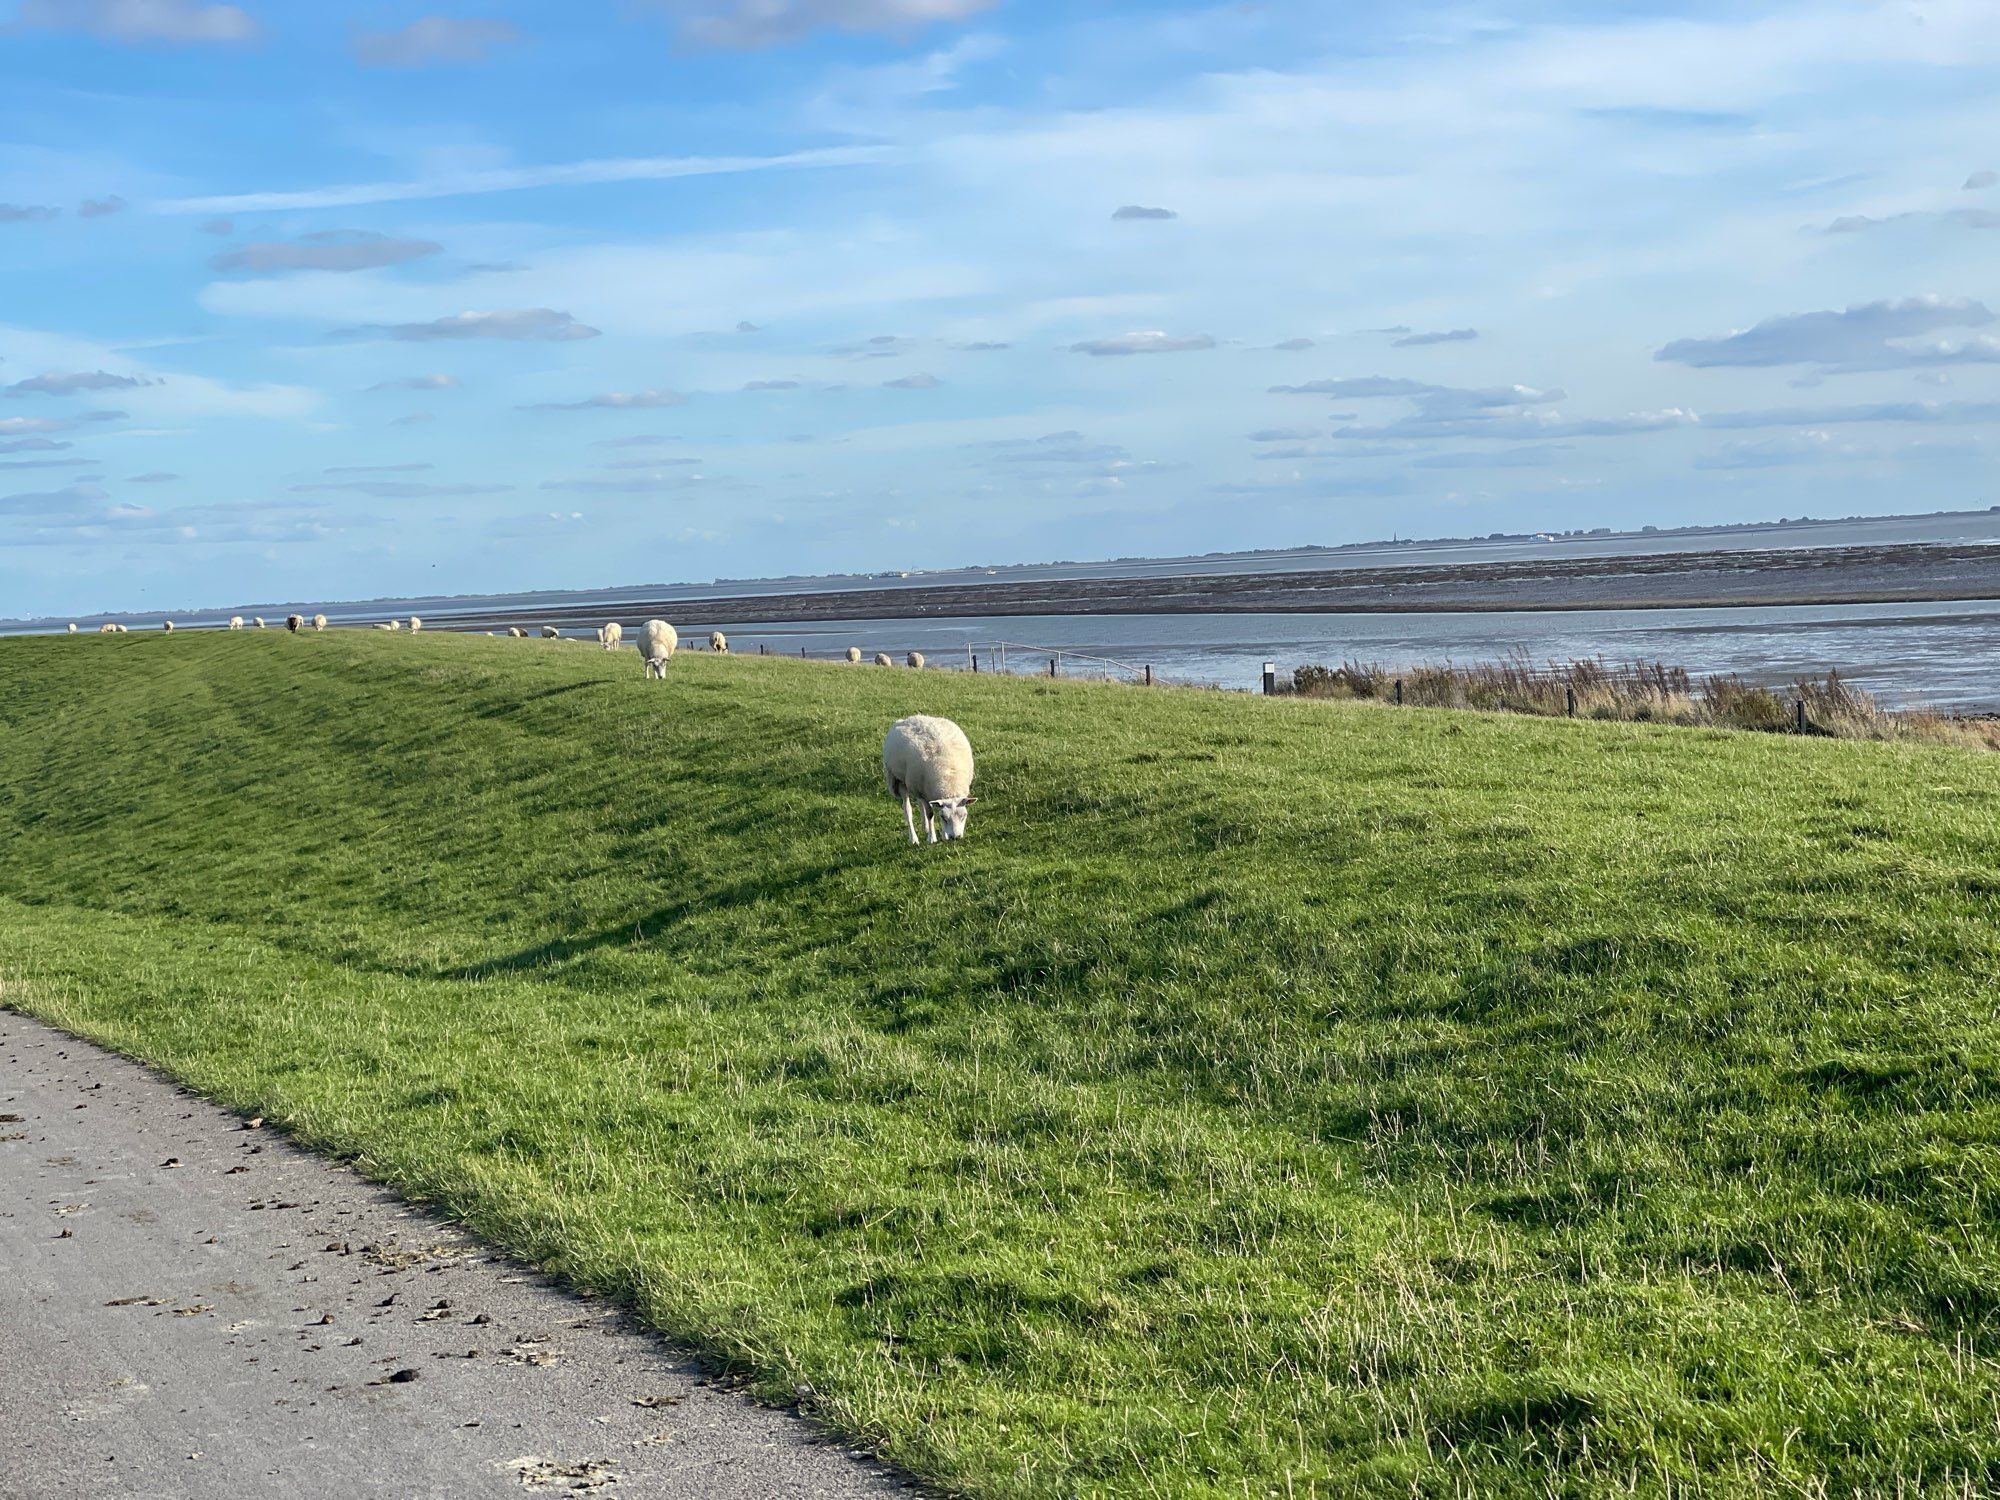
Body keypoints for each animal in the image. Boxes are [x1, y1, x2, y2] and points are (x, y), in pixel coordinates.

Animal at [888, 716, 980, 848]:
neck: (949, 783)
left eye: (964, 816)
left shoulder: (926, 792)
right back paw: (913, 838)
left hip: (917, 785)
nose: (956, 837)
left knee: (919, 802)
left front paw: (943, 835)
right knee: (907, 809)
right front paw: (932, 838)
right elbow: (930, 814)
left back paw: (925, 827)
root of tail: (908, 718)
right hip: (898, 779)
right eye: (943, 818)